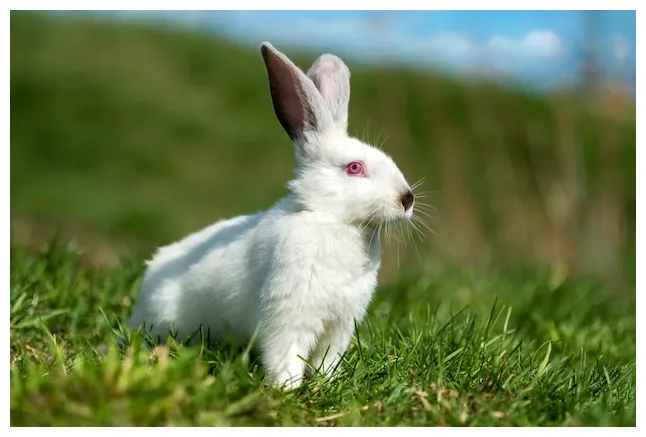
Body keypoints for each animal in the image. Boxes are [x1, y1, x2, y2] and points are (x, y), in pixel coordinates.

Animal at [127, 42, 416, 389]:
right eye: (354, 167)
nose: (407, 199)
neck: (332, 221)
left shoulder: (339, 324)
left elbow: (326, 360)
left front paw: (325, 383)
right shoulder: (289, 314)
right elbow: (286, 355)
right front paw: (287, 389)